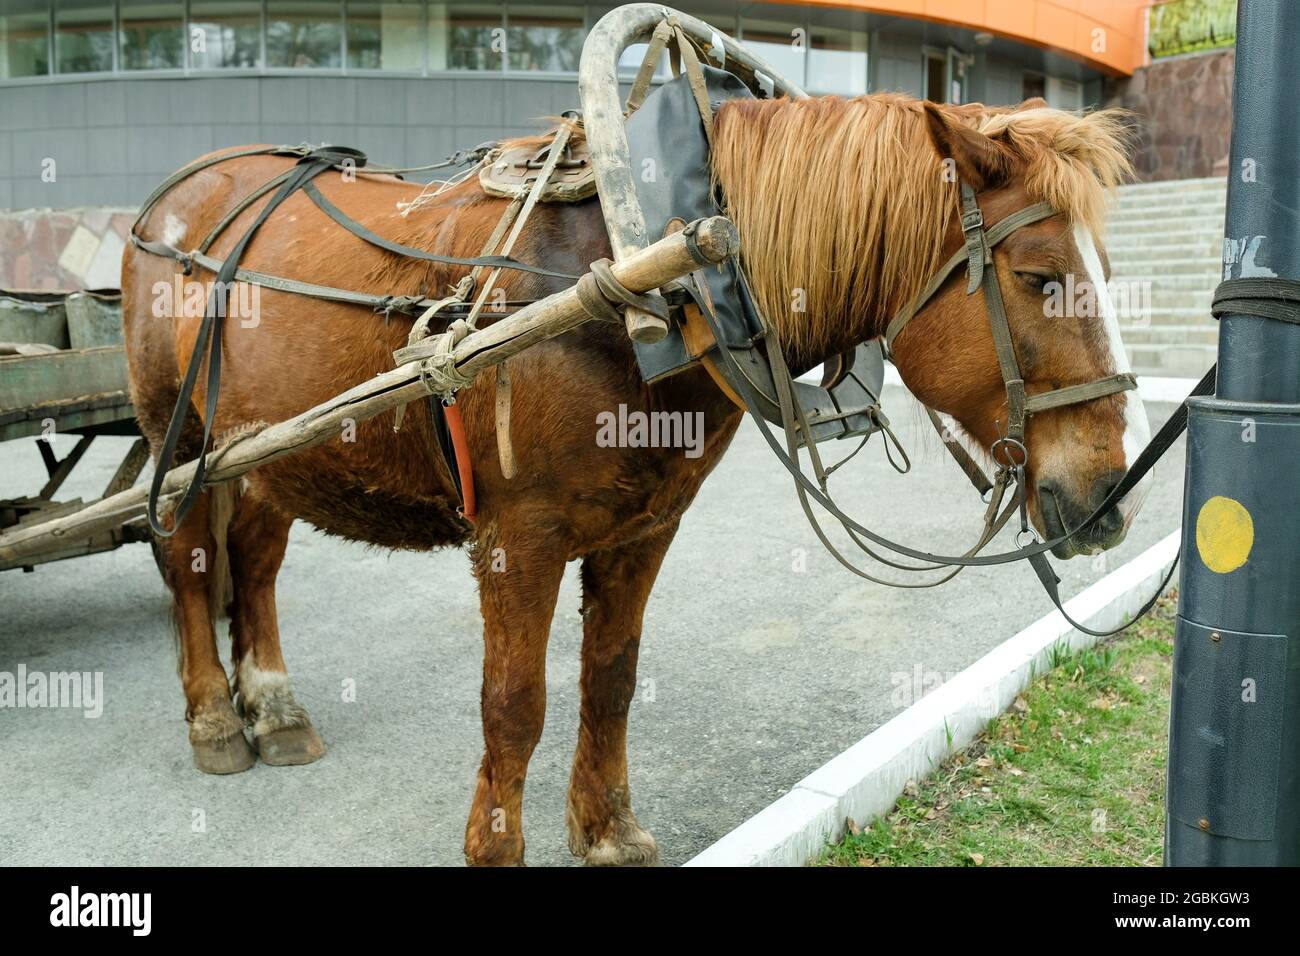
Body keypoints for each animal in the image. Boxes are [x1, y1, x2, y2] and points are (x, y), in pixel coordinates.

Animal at [119, 91, 1149, 868]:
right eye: (1040, 276)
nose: (1108, 498)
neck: (655, 276)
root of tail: (176, 197)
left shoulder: (645, 527)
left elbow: (611, 681)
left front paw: (609, 832)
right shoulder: (518, 537)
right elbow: (513, 707)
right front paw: (498, 848)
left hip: (265, 451)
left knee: (254, 558)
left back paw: (273, 706)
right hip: (175, 439)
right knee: (189, 562)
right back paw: (214, 720)